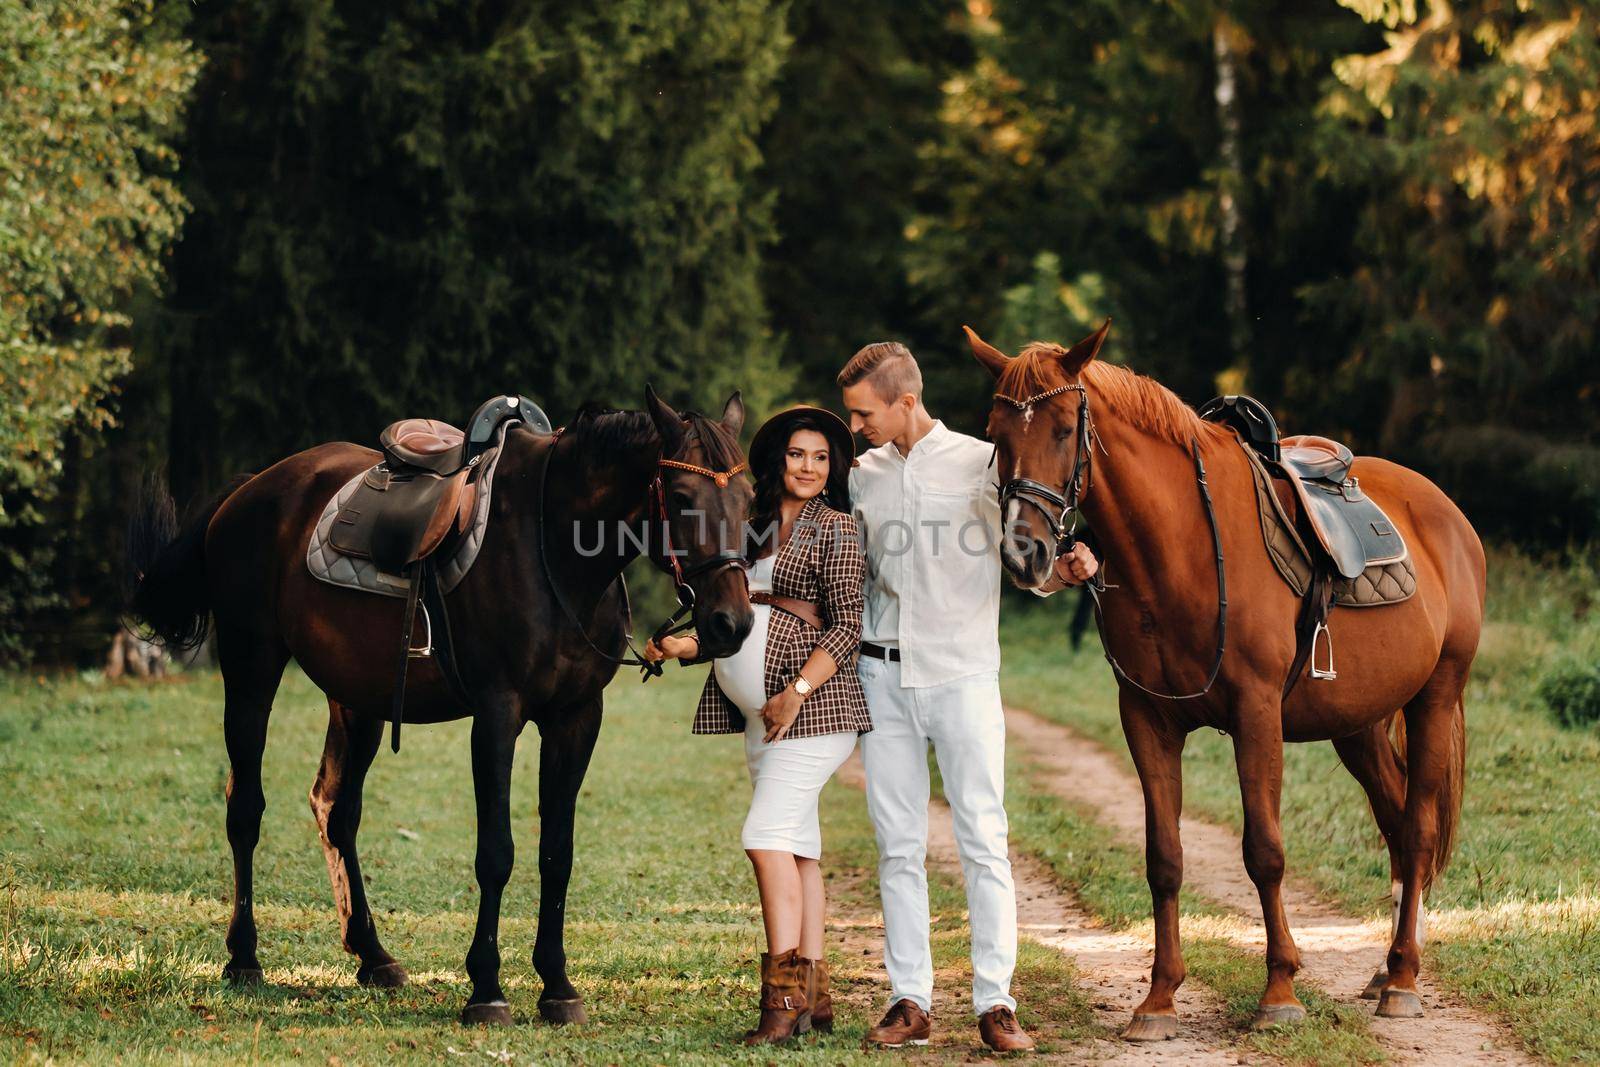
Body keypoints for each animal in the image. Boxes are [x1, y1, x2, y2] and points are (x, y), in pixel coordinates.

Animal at [128, 385, 752, 1023]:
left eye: (750, 498)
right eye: (681, 498)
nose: (732, 622)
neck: (554, 550)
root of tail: (252, 488)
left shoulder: (576, 718)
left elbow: (557, 852)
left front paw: (557, 986)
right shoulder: (498, 716)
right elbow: (496, 852)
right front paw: (487, 988)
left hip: (358, 700)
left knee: (336, 811)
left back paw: (372, 955)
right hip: (252, 667)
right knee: (245, 808)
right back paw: (244, 957)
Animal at [960, 323, 1484, 1036]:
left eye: (1066, 429)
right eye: (995, 434)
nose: (1024, 552)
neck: (1178, 549)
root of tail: (1447, 515)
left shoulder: (1256, 714)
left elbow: (1264, 851)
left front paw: (1280, 992)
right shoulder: (1146, 720)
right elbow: (1164, 858)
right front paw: (1158, 998)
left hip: (1436, 697)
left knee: (1421, 825)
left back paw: (1402, 977)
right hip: (1360, 726)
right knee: (1398, 821)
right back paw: (1388, 968)